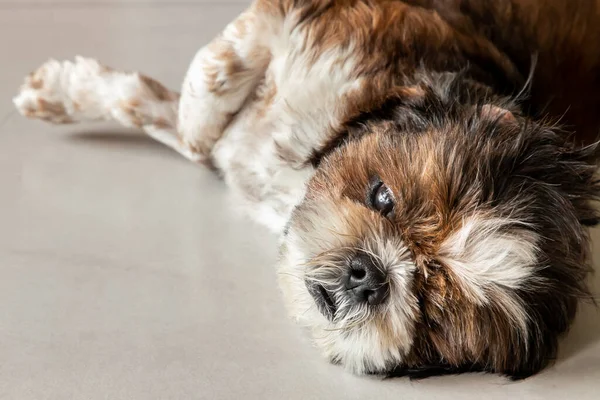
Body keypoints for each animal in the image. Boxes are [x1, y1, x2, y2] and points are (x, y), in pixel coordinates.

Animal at [11, 0, 600, 382]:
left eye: (434, 314)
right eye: (382, 197)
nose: (369, 275)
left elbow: (171, 111)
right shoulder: (322, 20)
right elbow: (210, 79)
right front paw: (64, 92)